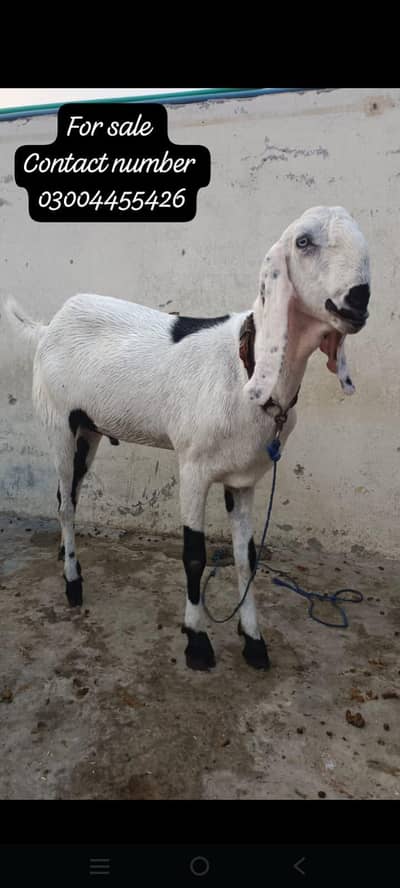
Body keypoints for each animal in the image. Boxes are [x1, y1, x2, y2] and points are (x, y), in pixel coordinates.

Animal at [4, 206, 370, 671]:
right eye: (303, 242)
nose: (359, 299)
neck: (244, 367)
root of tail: (49, 325)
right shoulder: (193, 468)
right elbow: (194, 553)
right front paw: (197, 641)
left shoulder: (244, 479)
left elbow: (246, 557)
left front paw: (253, 640)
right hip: (59, 424)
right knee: (66, 505)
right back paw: (72, 583)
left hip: (89, 431)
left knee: (65, 494)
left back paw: (63, 558)